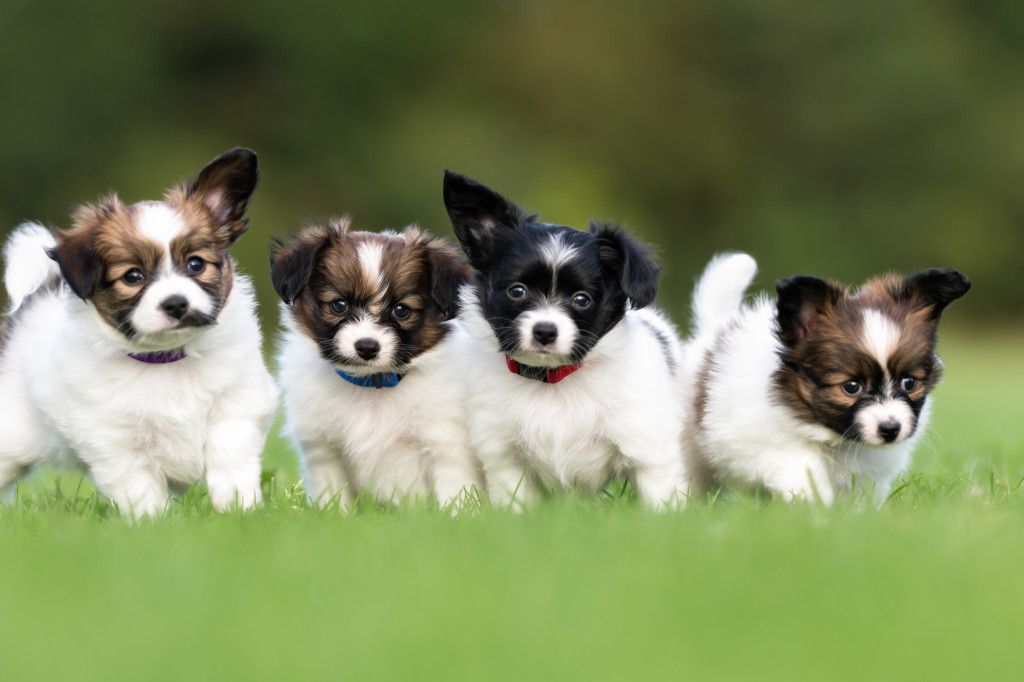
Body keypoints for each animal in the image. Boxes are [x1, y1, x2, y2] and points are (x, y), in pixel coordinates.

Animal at [0, 147, 280, 516]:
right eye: (132, 276)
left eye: (196, 264)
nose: (176, 304)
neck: (166, 359)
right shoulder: (116, 443)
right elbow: (141, 490)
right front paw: (154, 524)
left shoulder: (238, 404)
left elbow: (229, 456)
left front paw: (237, 508)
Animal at [270, 215, 481, 507]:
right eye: (339, 305)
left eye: (401, 310)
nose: (367, 347)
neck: (372, 385)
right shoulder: (325, 453)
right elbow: (334, 501)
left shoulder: (445, 446)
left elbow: (453, 497)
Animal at [442, 169, 688, 509]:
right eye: (517, 291)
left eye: (581, 299)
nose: (545, 331)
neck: (554, 379)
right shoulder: (506, 457)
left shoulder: (648, 451)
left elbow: (660, 501)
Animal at [688, 251, 966, 501]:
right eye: (851, 387)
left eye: (909, 383)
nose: (891, 428)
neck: (835, 439)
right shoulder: (774, 445)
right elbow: (804, 469)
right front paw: (818, 508)